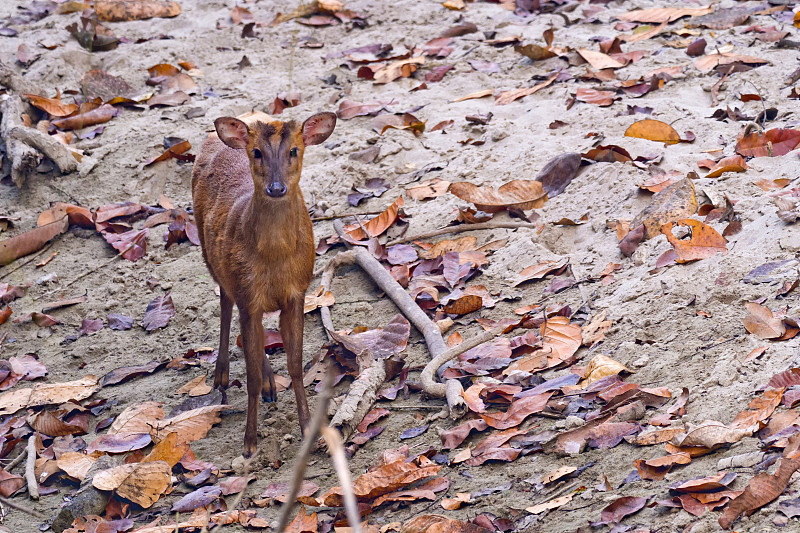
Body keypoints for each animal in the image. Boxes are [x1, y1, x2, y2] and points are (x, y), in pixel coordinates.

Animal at [192, 110, 336, 456]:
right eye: (256, 152)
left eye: (294, 150)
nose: (276, 187)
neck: (275, 262)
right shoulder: (248, 294)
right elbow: (252, 377)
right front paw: (249, 443)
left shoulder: (298, 292)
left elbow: (296, 366)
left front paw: (308, 429)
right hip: (210, 254)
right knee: (225, 301)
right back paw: (221, 375)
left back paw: (271, 383)